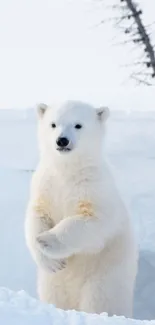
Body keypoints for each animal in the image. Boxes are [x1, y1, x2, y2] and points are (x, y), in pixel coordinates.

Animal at [25, 99, 138, 316]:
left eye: (78, 125)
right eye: (53, 124)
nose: (62, 141)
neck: (68, 170)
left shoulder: (94, 188)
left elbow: (92, 221)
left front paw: (46, 240)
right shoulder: (45, 185)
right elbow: (36, 215)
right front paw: (50, 259)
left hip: (105, 277)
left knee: (100, 301)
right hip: (52, 284)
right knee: (54, 296)